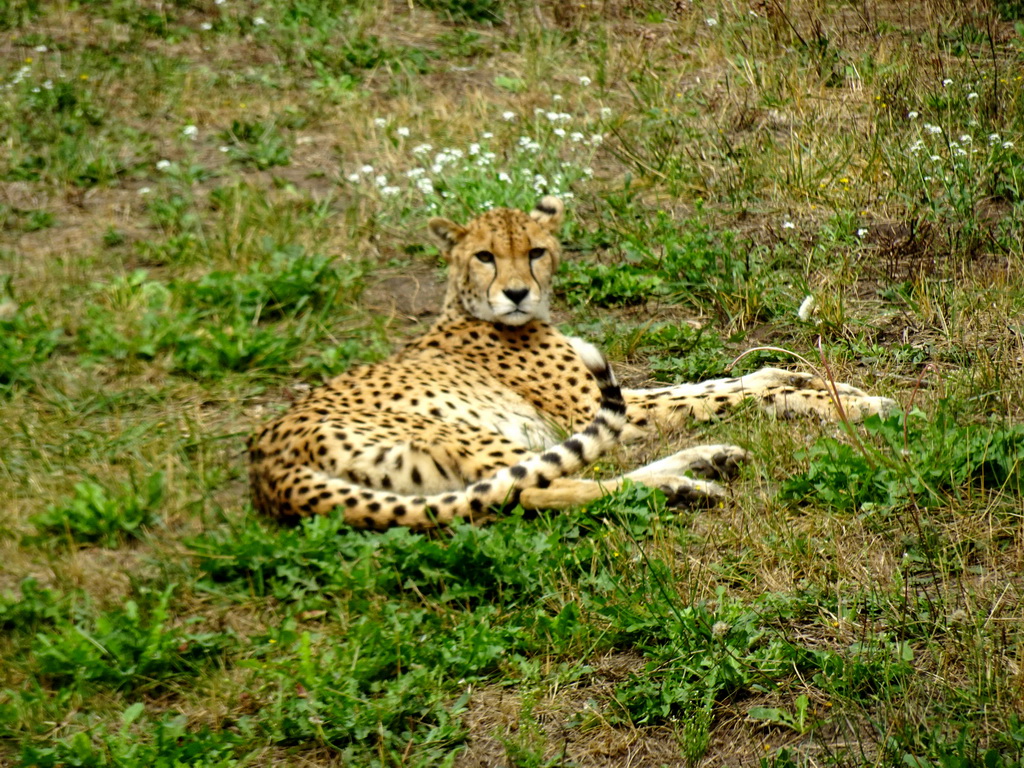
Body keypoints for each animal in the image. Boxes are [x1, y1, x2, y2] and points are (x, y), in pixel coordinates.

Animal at [249, 196, 897, 528]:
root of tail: (266, 464)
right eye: (484, 256)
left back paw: (702, 463)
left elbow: (711, 381)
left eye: (536, 251)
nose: (516, 293)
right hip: (471, 433)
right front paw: (851, 402)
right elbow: (719, 394)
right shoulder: (605, 410)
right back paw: (685, 482)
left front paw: (802, 376)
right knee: (532, 491)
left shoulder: (615, 396)